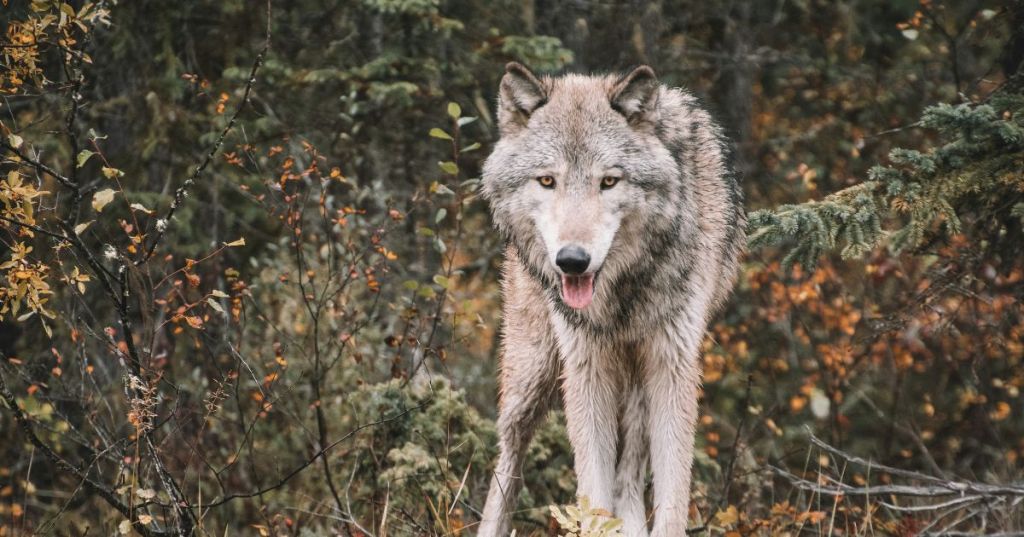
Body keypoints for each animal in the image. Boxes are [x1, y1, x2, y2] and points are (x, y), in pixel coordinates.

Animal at [477, 63, 744, 537]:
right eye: (547, 180)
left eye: (609, 181)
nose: (572, 260)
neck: (621, 292)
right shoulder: (586, 366)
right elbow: (592, 488)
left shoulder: (672, 362)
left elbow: (670, 492)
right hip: (532, 375)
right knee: (509, 457)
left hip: (635, 382)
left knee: (631, 471)